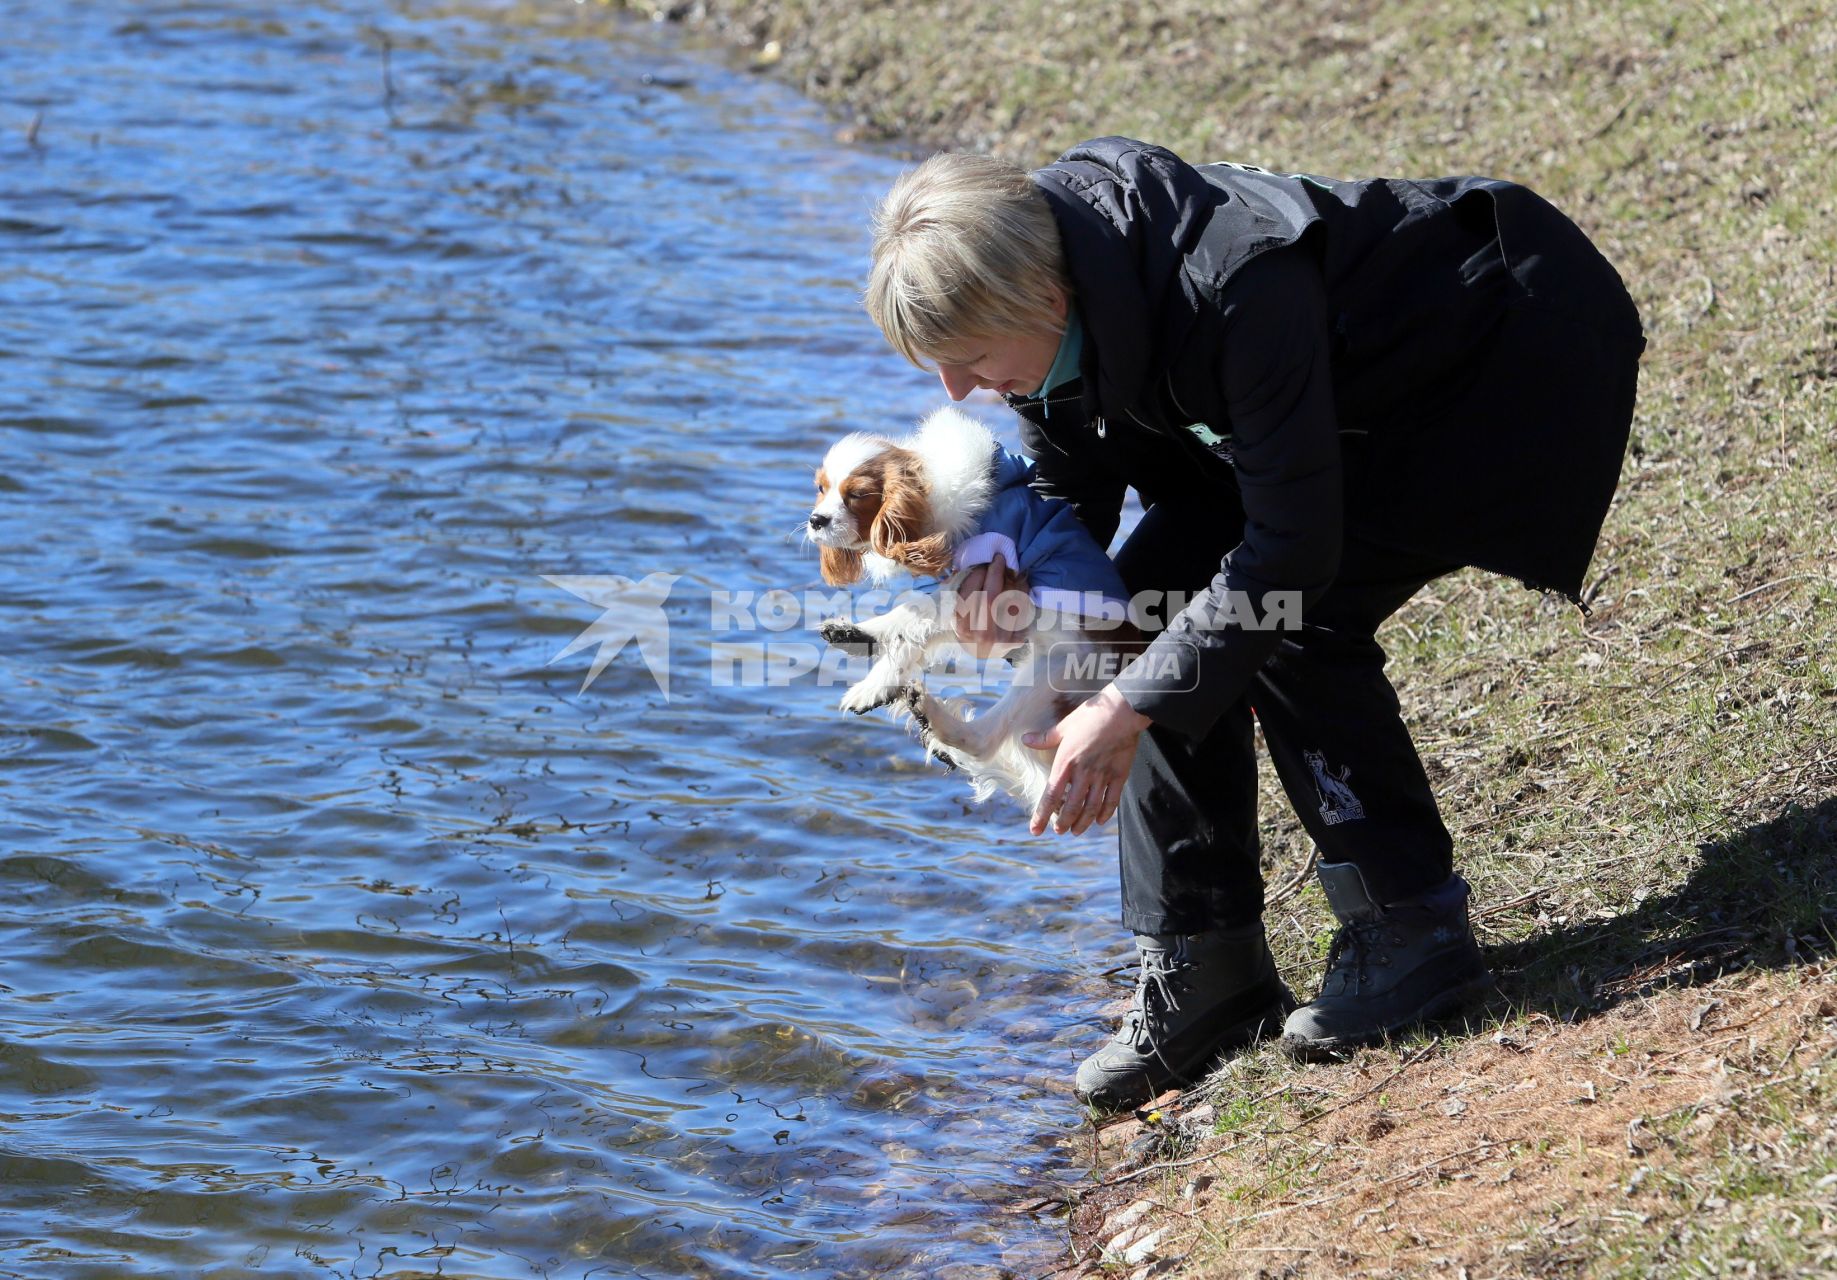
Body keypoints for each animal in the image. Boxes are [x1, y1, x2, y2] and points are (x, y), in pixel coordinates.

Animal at [804, 404, 1131, 815]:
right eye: (821, 488)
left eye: (858, 494)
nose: (816, 520)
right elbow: (906, 622)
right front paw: (861, 638)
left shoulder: (975, 584)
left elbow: (910, 624)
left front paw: (872, 685)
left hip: (1056, 670)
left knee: (986, 739)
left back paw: (937, 721)